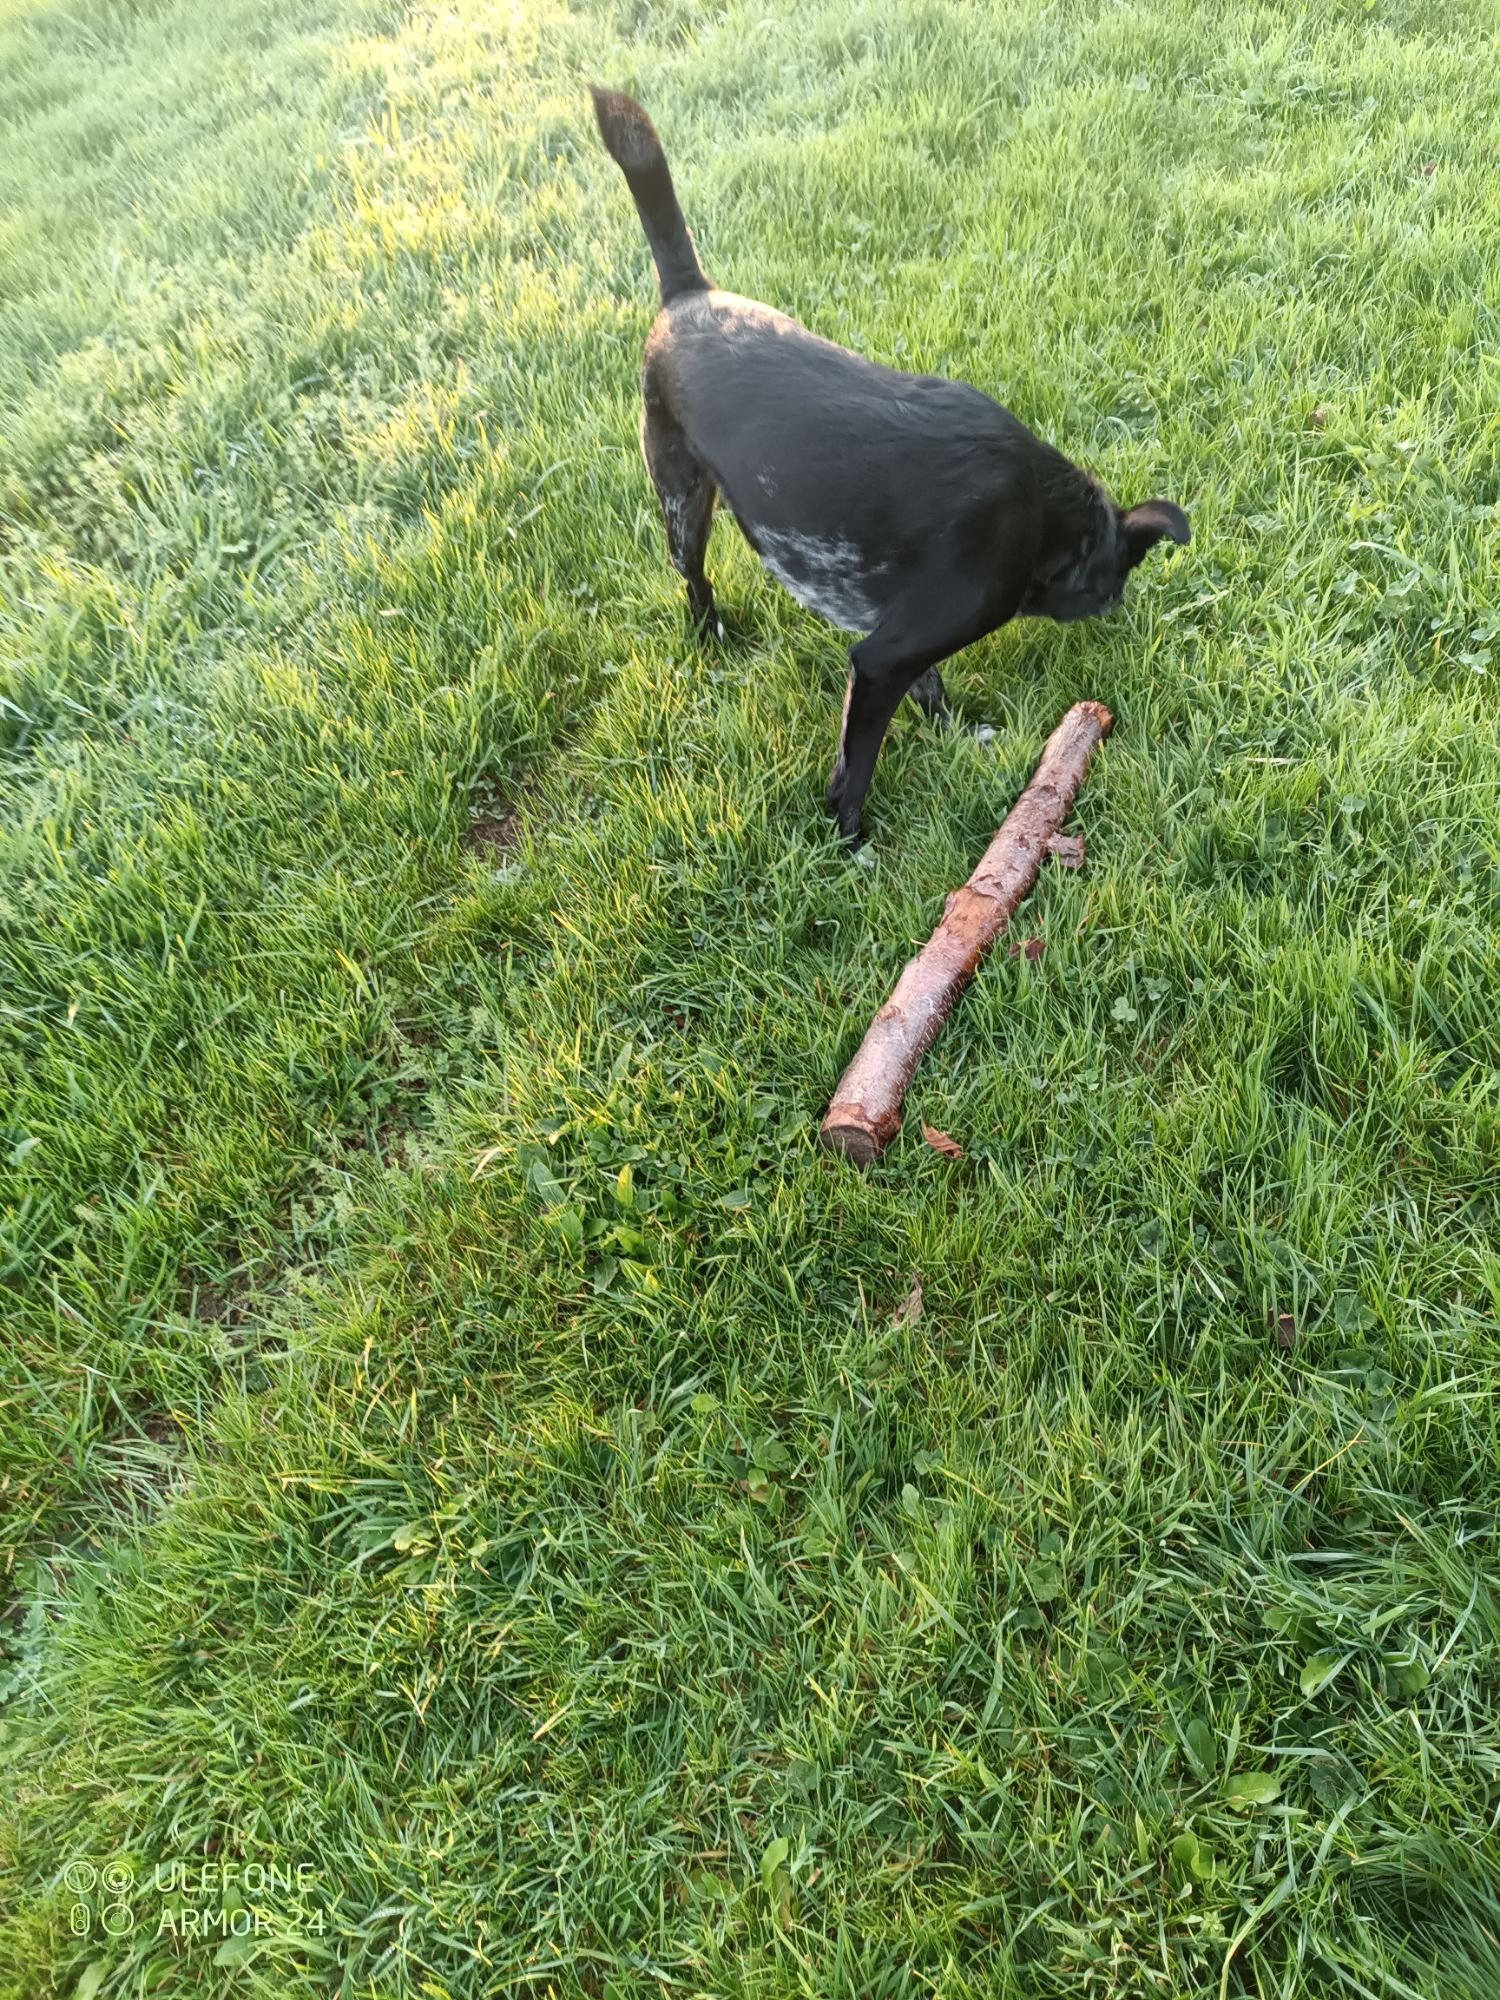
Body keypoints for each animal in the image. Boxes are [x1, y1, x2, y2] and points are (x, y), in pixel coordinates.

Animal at [592, 92, 1192, 844]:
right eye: (1117, 577)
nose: (1116, 606)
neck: (1042, 517)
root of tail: (687, 295)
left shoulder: (906, 643)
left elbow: (931, 694)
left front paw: (955, 739)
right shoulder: (881, 661)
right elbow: (857, 766)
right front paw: (847, 843)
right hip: (682, 502)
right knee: (694, 582)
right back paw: (709, 637)